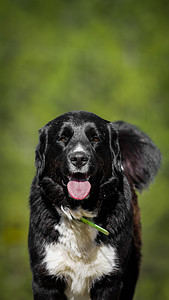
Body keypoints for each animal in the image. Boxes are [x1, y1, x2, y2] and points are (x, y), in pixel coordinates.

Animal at [28, 111, 161, 298]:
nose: (79, 158)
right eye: (62, 138)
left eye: (95, 138)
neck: (79, 211)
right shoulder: (45, 280)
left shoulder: (110, 282)